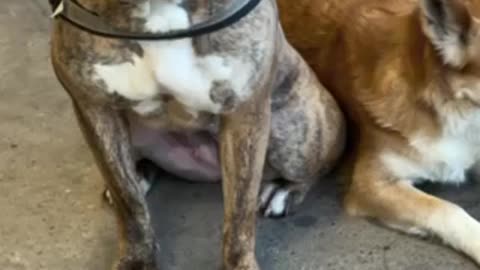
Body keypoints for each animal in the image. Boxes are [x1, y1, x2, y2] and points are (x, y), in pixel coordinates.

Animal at [48, 0, 344, 270]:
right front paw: (137, 259)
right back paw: (139, 172)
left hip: (295, 135)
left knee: (320, 164)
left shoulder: (245, 112)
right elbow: (127, 202)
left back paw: (283, 190)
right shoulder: (95, 108)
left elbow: (240, 214)